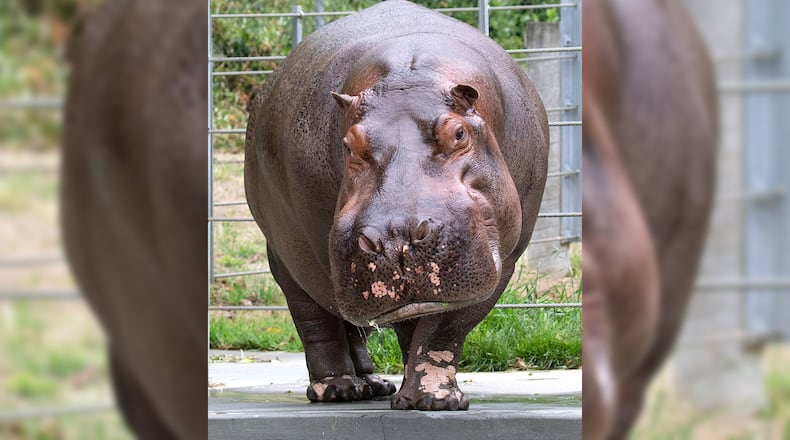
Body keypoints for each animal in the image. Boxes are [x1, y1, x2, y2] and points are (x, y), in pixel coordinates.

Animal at [245, 0, 548, 410]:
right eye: (348, 145)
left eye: (458, 132)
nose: (396, 237)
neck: (410, 71)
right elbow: (408, 326)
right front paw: (422, 396)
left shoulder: (503, 262)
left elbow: (442, 329)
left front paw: (433, 400)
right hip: (289, 259)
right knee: (317, 322)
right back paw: (338, 390)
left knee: (352, 329)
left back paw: (374, 385)